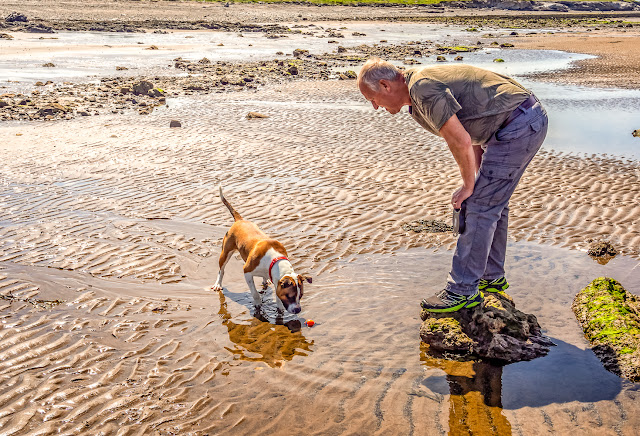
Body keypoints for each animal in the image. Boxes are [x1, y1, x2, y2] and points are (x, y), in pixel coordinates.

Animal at [211, 186, 312, 314]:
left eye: (301, 296)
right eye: (290, 296)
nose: (298, 310)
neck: (275, 260)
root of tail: (239, 220)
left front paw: (279, 307)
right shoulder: (247, 272)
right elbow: (254, 293)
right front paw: (258, 303)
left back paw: (265, 280)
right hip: (225, 252)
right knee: (222, 270)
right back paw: (218, 284)